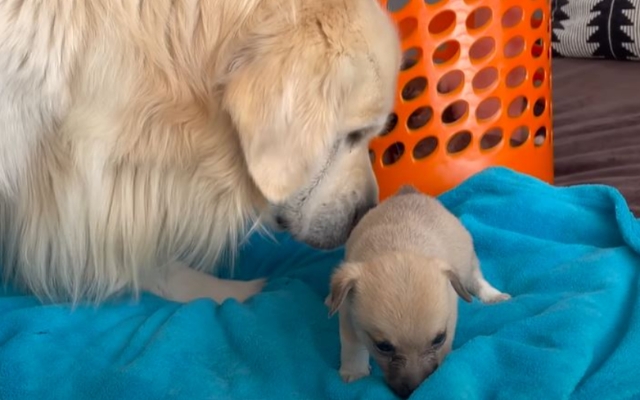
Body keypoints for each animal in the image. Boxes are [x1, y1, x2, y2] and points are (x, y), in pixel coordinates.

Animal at [324, 186, 510, 398]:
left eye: (439, 339)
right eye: (383, 347)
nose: (414, 389)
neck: (399, 246)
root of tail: (409, 192)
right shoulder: (348, 314)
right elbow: (352, 346)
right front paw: (355, 372)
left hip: (468, 262)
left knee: (476, 279)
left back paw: (494, 296)